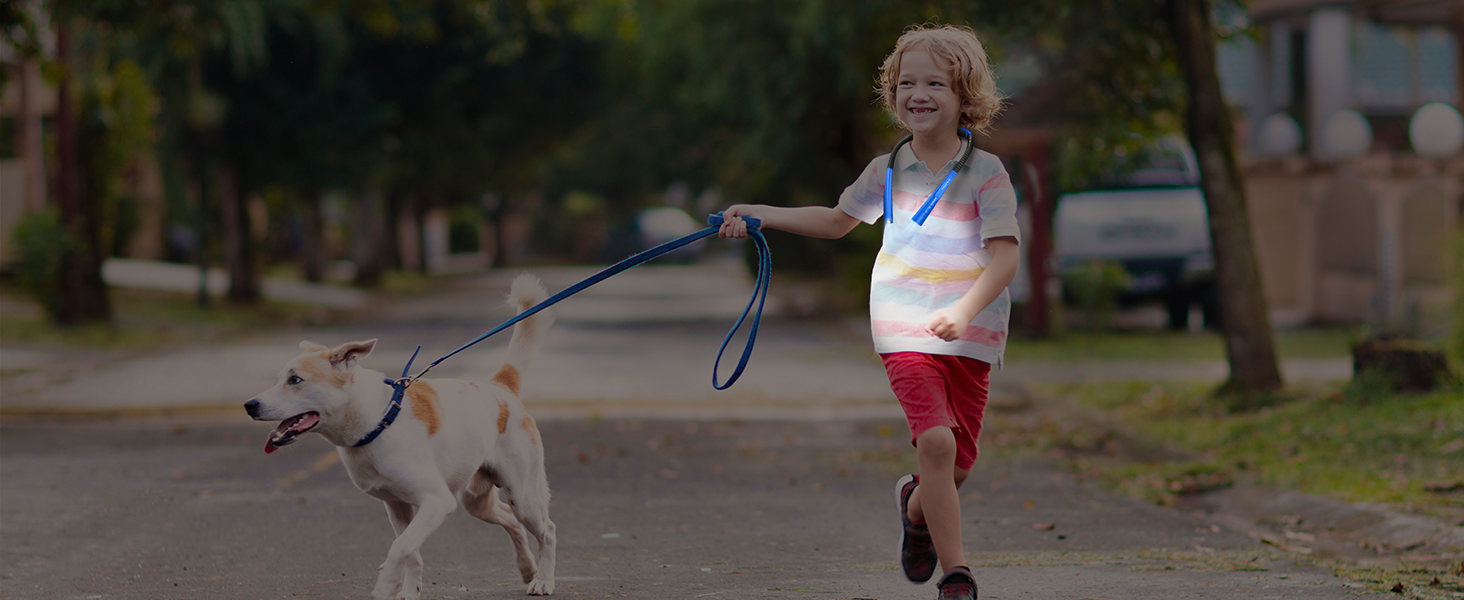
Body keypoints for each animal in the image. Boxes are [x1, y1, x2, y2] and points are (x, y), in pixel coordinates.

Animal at [245, 273, 553, 597]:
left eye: (295, 380)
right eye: (280, 378)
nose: (249, 405)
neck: (379, 421)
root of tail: (501, 387)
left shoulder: (437, 502)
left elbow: (399, 548)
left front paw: (385, 586)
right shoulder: (397, 506)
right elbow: (411, 552)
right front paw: (407, 590)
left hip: (523, 496)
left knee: (547, 530)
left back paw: (543, 579)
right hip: (477, 501)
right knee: (512, 522)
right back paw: (527, 568)